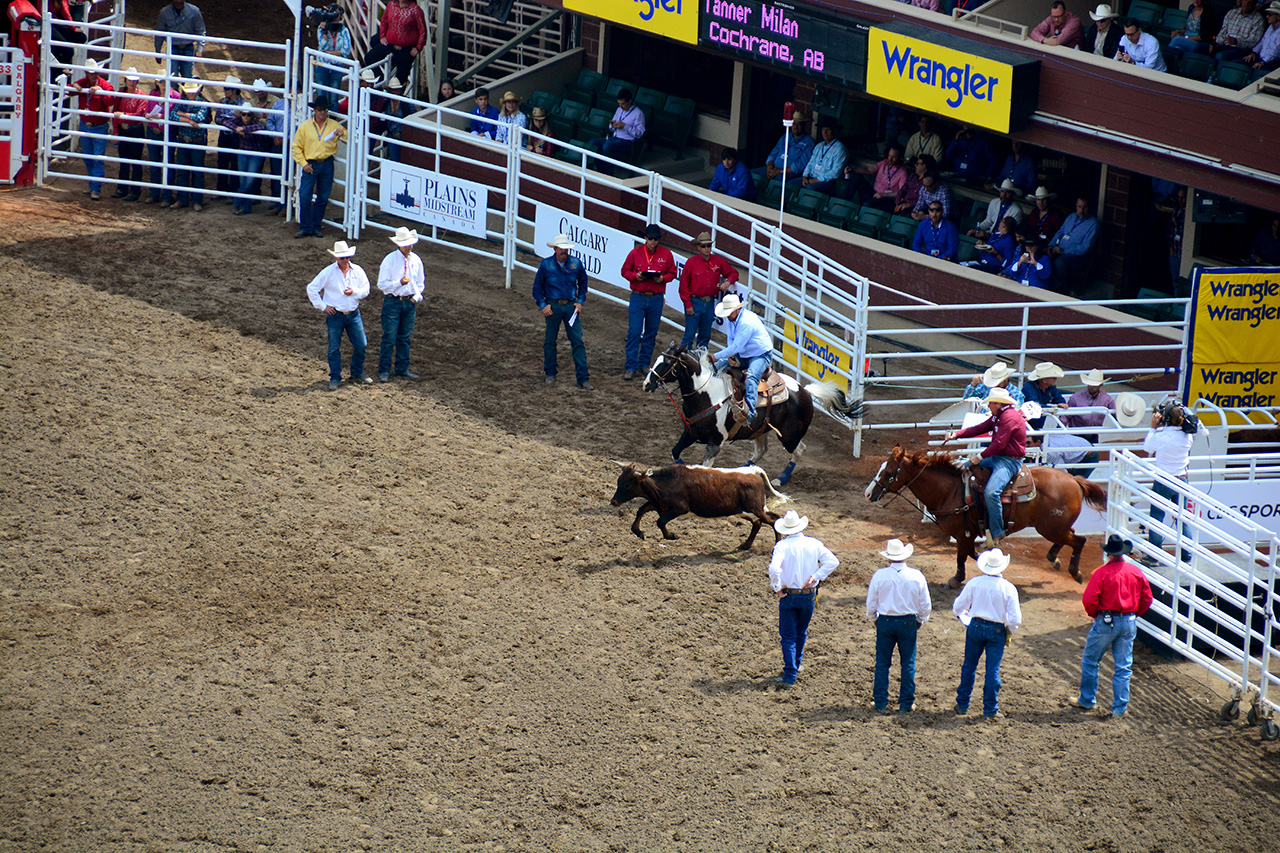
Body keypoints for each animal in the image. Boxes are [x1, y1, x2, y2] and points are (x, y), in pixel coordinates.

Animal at [870, 445, 1111, 584]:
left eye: (889, 473)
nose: (868, 493)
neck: (951, 491)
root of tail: (1074, 479)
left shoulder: (963, 534)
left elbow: (961, 556)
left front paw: (957, 579)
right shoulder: (967, 535)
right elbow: (970, 554)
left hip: (1050, 528)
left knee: (1079, 540)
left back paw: (1075, 572)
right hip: (1056, 527)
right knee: (1069, 537)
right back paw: (1054, 559)